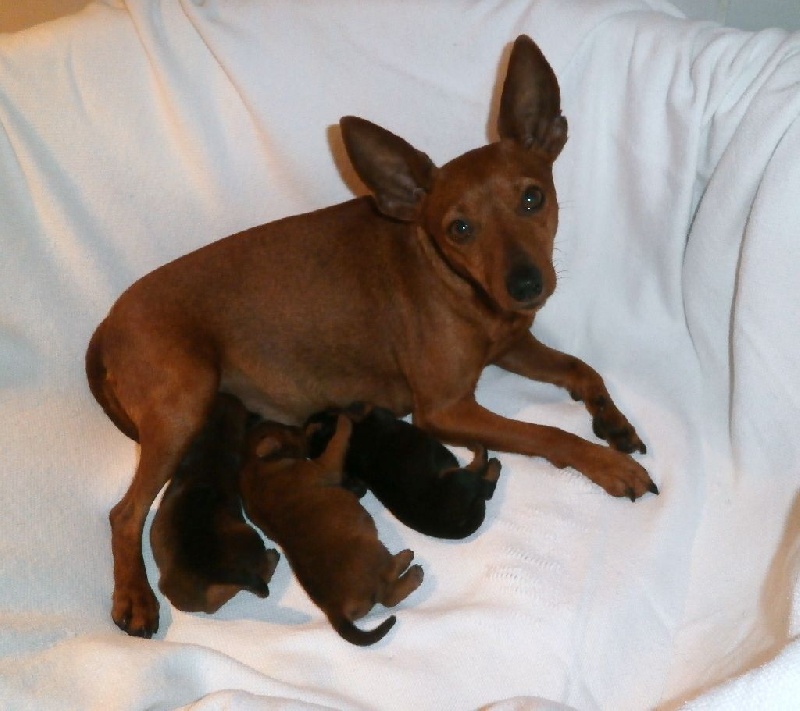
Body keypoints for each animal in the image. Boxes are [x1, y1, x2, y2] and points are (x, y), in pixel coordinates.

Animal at [239, 414, 422, 648]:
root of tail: (334, 609)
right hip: (373, 549)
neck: (254, 464)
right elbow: (337, 442)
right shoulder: (325, 466)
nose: (301, 427)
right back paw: (409, 566)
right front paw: (343, 421)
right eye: (289, 431)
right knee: (389, 592)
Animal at [304, 406, 500, 540]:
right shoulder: (378, 415)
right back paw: (486, 456)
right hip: (458, 479)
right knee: (485, 479)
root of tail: (464, 522)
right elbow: (366, 409)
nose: (320, 411)